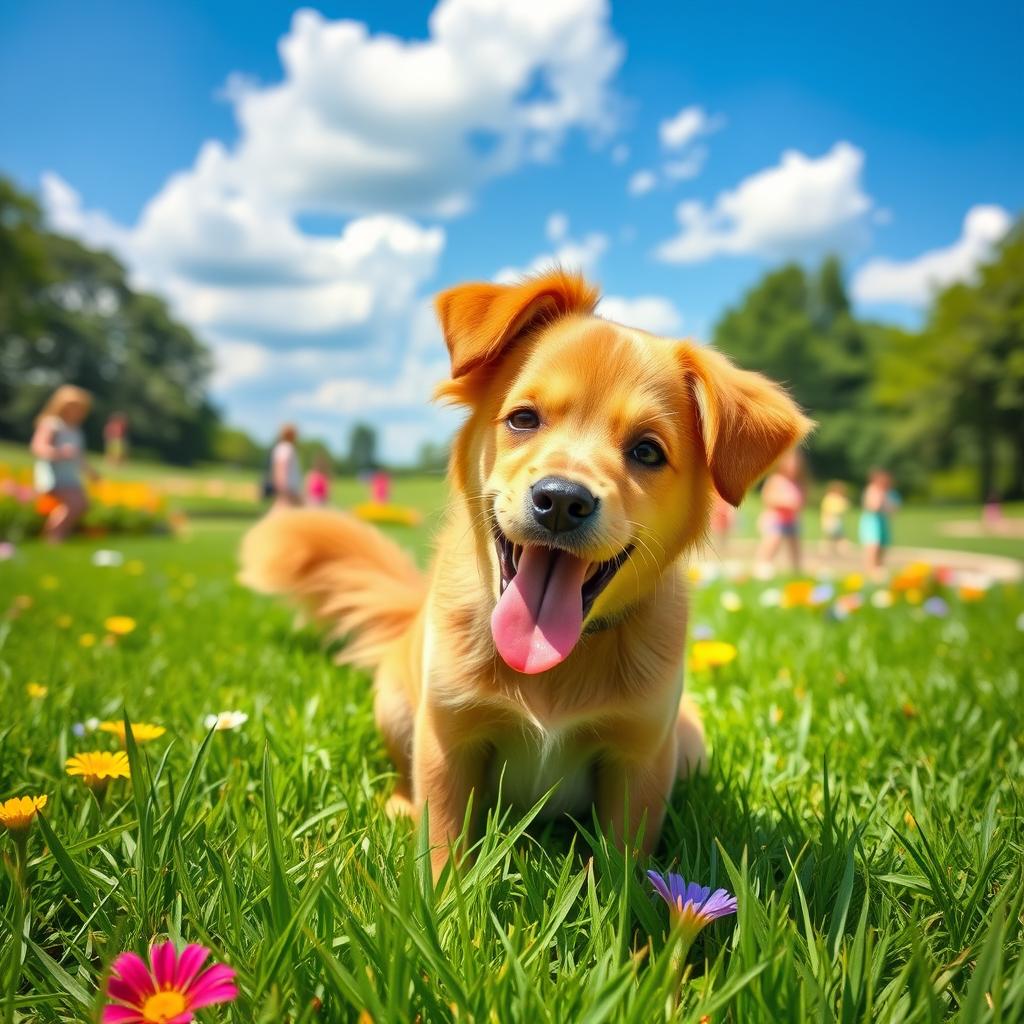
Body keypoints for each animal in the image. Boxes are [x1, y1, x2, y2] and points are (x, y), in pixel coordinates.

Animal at [239, 270, 806, 872]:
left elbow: (621, 867)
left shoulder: (640, 754)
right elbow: (443, 846)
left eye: (648, 451)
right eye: (524, 418)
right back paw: (397, 804)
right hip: (394, 704)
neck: (552, 663)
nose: (560, 500)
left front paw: (629, 900)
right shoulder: (448, 739)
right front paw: (443, 897)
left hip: (689, 743)